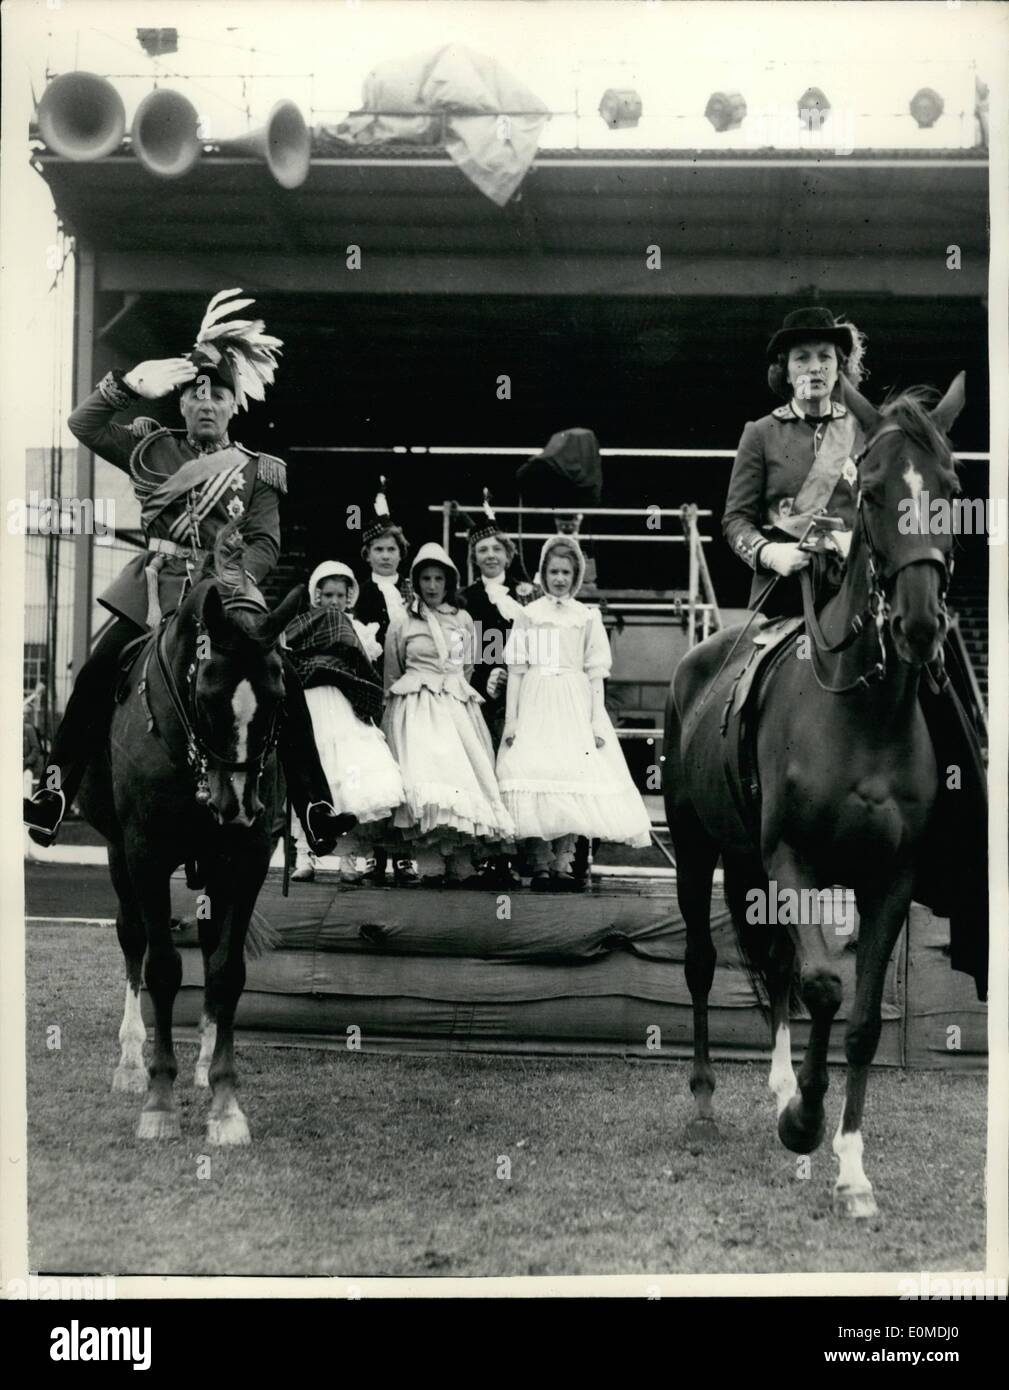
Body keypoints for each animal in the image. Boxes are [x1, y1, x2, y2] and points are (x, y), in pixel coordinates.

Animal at [79, 547, 300, 1145]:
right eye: (207, 695)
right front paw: (158, 1101)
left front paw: (225, 1103)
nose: (237, 805)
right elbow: (162, 968)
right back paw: (131, 1062)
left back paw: (201, 1063)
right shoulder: (147, 853)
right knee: (133, 941)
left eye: (278, 695)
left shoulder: (246, 859)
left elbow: (226, 970)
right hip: (118, 856)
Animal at [667, 378, 978, 1217]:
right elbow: (821, 987)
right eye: (868, 493)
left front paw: (848, 1166)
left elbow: (861, 1016)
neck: (860, 715)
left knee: (773, 968)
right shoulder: (792, 861)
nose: (917, 624)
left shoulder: (889, 881)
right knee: (704, 964)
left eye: (950, 490)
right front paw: (803, 1123)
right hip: (698, 850)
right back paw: (705, 1104)